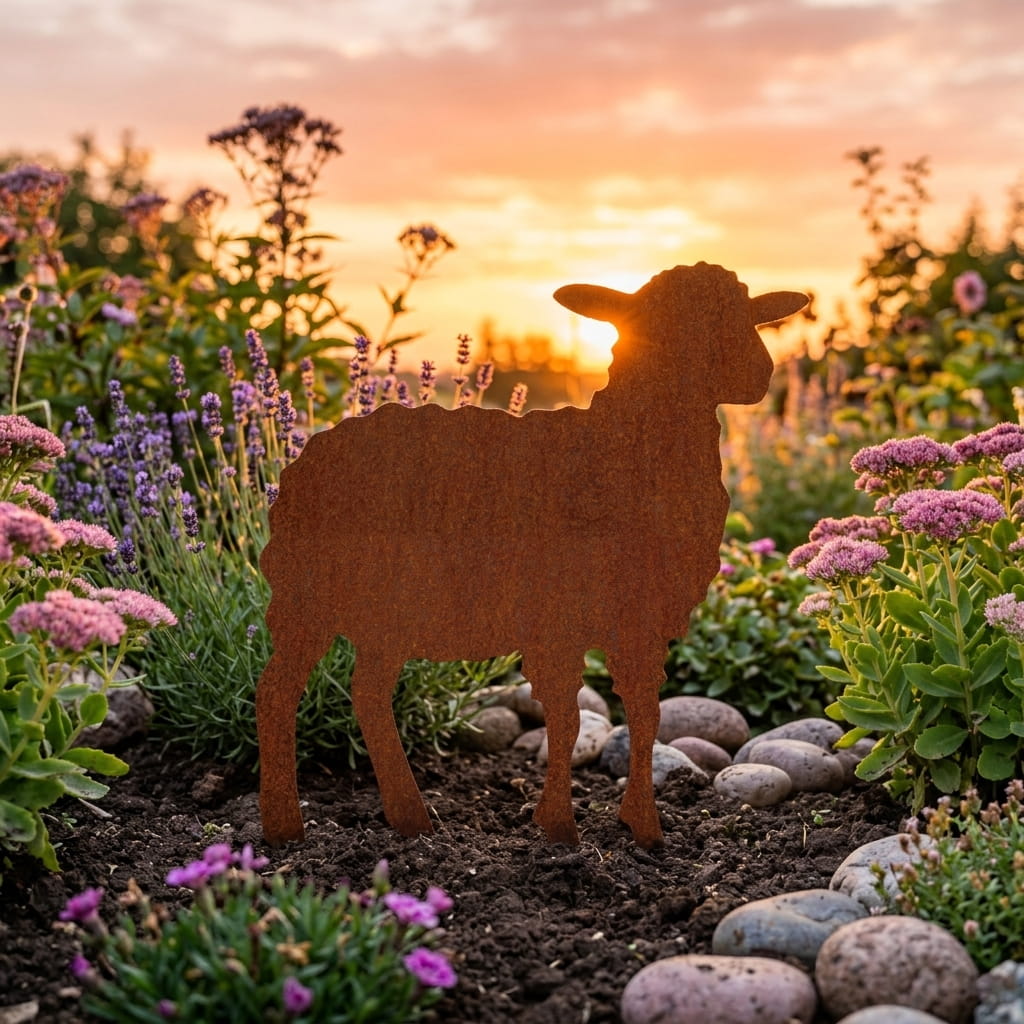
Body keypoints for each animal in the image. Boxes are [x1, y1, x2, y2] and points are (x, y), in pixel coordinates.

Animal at [256, 261, 808, 849]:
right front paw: (560, 826)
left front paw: (642, 826)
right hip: (307, 596)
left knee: (367, 695)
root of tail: (303, 456)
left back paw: (409, 817)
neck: (625, 447)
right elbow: (566, 719)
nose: (759, 373)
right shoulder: (556, 618)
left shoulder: (641, 619)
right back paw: (285, 826)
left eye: (749, 313)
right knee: (276, 693)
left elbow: (645, 715)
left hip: (385, 610)